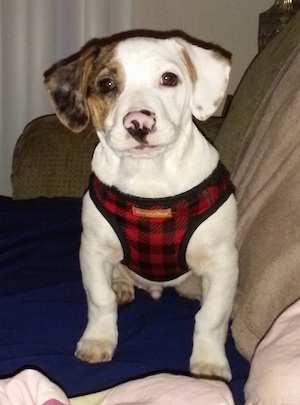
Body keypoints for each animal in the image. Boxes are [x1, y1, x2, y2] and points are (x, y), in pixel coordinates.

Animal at [43, 32, 238, 382]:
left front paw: (210, 367)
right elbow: (100, 299)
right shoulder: (92, 249)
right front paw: (98, 340)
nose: (139, 123)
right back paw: (121, 285)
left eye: (169, 79)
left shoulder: (222, 262)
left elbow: (211, 317)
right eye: (107, 84)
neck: (150, 177)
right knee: (118, 278)